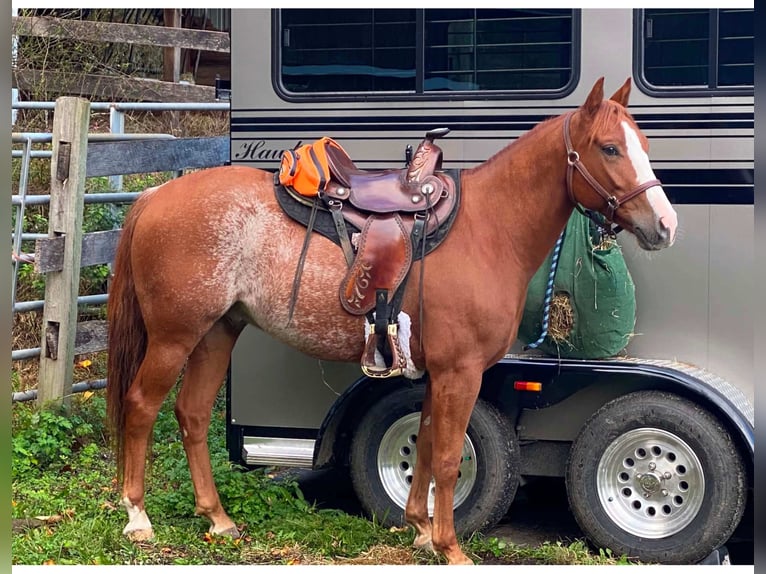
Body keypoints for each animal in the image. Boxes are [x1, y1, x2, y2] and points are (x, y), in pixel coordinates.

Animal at [106, 77, 677, 565]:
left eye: (643, 142)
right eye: (609, 148)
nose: (665, 226)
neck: (488, 229)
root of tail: (155, 196)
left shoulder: (434, 373)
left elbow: (423, 446)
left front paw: (419, 528)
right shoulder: (460, 372)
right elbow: (447, 456)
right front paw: (450, 547)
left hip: (217, 333)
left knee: (192, 414)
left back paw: (217, 518)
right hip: (174, 337)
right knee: (141, 406)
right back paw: (137, 517)